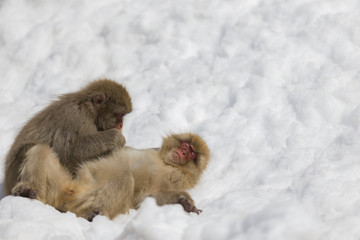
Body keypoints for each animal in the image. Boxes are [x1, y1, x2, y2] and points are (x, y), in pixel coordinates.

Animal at [3, 79, 133, 196]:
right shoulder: (76, 117)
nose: (121, 125)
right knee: (30, 147)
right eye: (119, 115)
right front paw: (116, 137)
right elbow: (71, 151)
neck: (89, 110)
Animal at [11, 133, 210, 221]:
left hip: (77, 199)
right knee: (41, 150)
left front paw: (185, 202)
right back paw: (27, 190)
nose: (183, 152)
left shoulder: (175, 179)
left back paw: (91, 214)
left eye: (192, 154)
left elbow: (147, 197)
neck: (167, 164)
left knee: (124, 177)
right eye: (186, 146)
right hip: (65, 186)